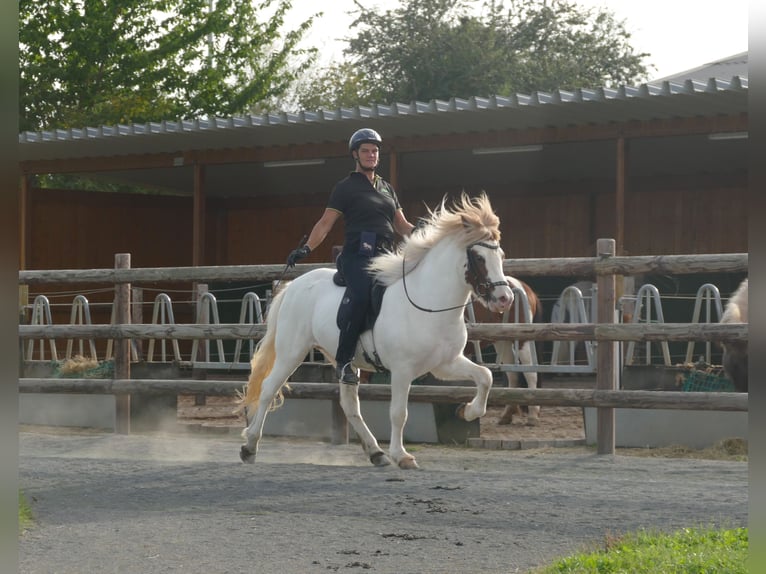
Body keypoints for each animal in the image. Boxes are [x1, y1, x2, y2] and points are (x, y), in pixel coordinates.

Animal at [240, 194, 516, 472]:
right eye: (479, 258)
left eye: (501, 255)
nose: (505, 299)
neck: (428, 302)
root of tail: (293, 286)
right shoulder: (403, 370)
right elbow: (399, 413)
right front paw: (402, 456)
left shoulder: (445, 364)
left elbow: (485, 377)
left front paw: (467, 411)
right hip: (292, 352)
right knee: (268, 389)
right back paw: (249, 447)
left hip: (343, 361)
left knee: (350, 406)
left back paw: (376, 453)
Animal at [468, 280, 544, 428]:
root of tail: (524, 286)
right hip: (502, 341)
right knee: (513, 375)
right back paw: (507, 414)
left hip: (523, 341)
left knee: (531, 374)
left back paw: (532, 415)